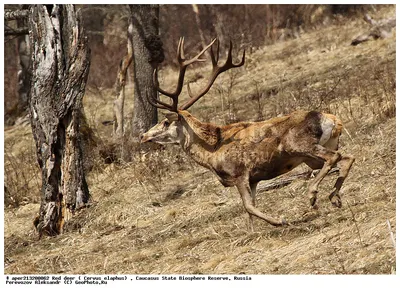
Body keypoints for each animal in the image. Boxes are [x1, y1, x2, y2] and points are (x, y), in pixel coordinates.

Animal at [140, 38, 354, 230]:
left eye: (165, 122)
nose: (143, 136)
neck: (212, 151)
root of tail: (333, 120)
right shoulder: (254, 178)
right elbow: (251, 208)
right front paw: (253, 231)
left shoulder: (239, 172)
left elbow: (248, 206)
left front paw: (280, 221)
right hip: (313, 155)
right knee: (346, 157)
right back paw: (334, 197)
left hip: (299, 144)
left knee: (334, 157)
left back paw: (312, 195)